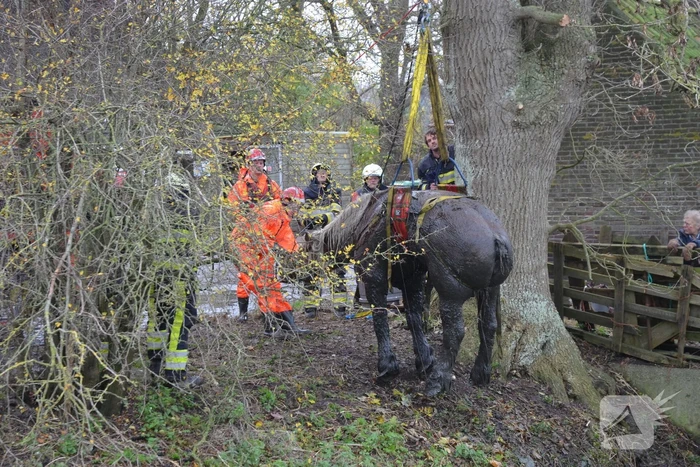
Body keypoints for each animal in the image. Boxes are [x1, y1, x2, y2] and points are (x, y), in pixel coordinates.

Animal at [304, 188, 514, 396]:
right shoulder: (412, 280)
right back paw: (480, 373)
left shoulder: (374, 278)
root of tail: (496, 237)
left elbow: (380, 318)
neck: (366, 218)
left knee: (455, 332)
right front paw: (424, 360)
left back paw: (438, 381)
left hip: (450, 293)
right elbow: (414, 318)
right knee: (488, 325)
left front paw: (387, 366)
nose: (304, 278)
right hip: (490, 290)